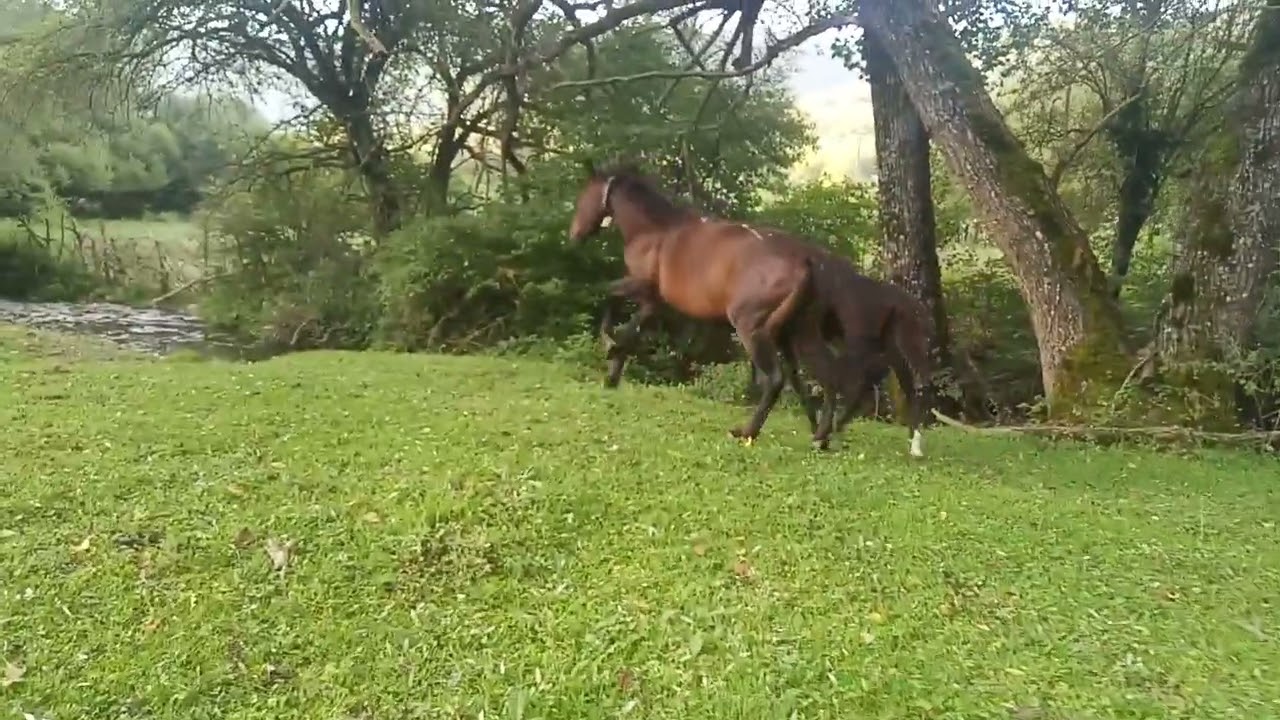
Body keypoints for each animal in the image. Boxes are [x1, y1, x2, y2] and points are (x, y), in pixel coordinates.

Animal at [568, 161, 824, 443]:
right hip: (784, 333)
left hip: (751, 329)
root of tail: (802, 268)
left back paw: (747, 432)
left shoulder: (642, 286)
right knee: (797, 379)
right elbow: (632, 328)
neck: (653, 231)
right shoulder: (654, 301)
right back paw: (818, 435)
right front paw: (613, 371)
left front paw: (610, 346)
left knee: (775, 378)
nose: (574, 234)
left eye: (584, 197)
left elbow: (610, 297)